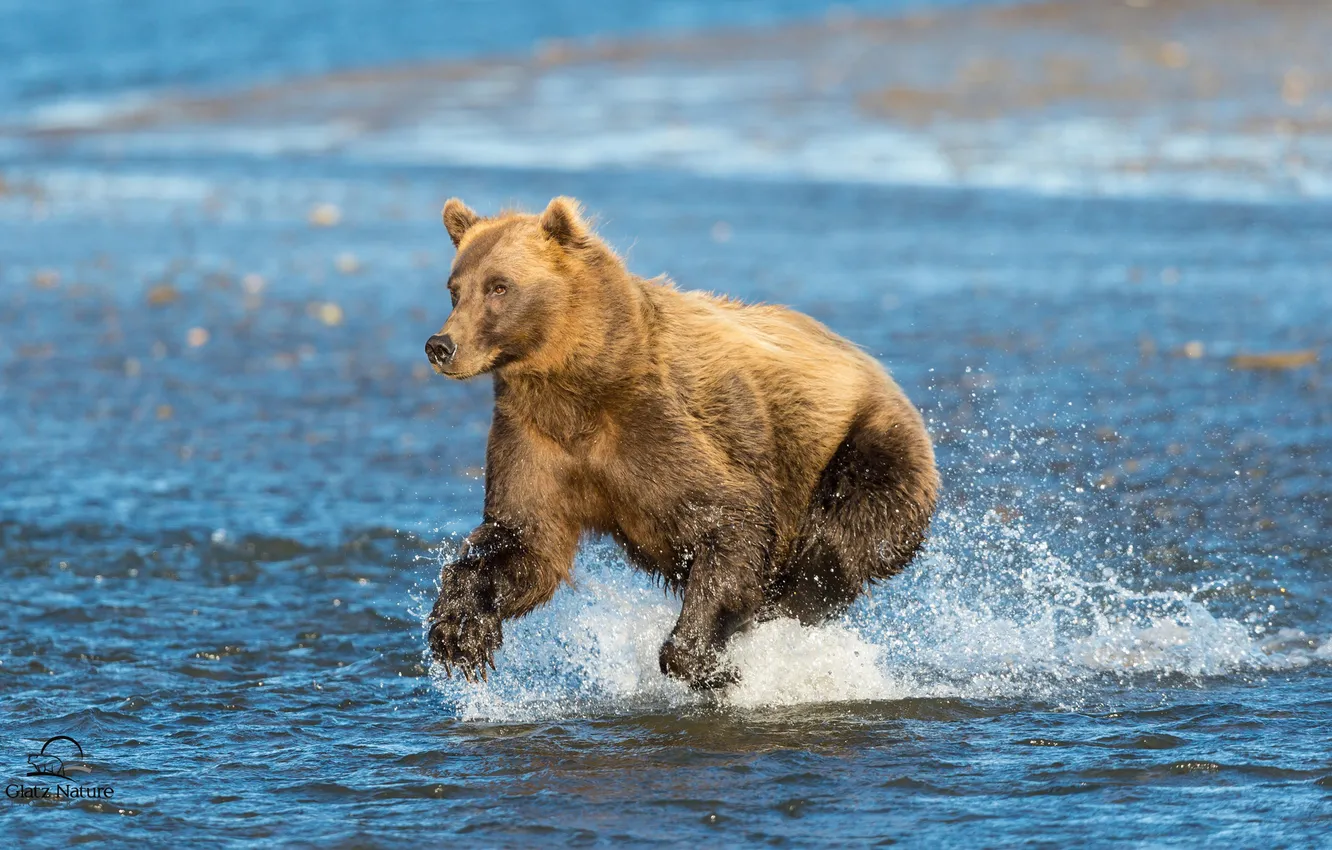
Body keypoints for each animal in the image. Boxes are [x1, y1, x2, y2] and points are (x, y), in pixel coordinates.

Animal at [423, 197, 937, 687]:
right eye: (454, 288)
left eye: (499, 287)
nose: (441, 346)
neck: (579, 390)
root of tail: (877, 369)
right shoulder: (536, 439)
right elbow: (525, 540)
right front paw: (459, 632)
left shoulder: (659, 427)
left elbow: (729, 520)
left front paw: (709, 661)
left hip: (866, 447)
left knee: (835, 542)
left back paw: (784, 606)